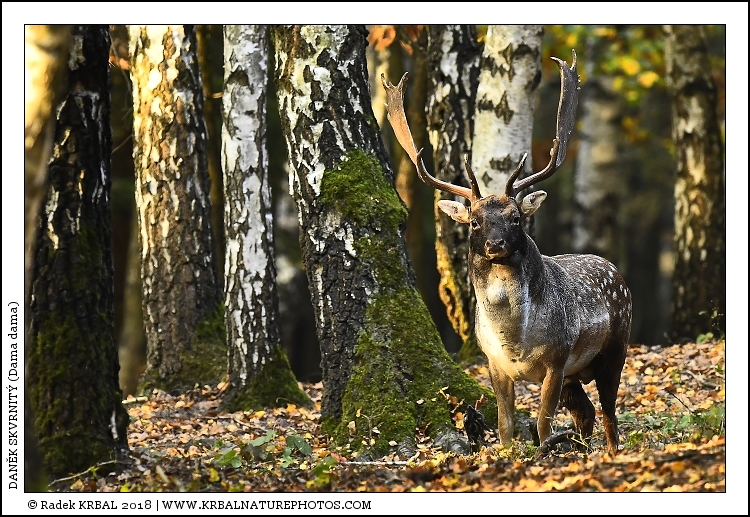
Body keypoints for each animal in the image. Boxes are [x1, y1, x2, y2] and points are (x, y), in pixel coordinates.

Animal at [382, 51, 632, 456]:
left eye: (516, 217)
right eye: (474, 222)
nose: (495, 245)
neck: (515, 342)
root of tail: (615, 270)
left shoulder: (557, 357)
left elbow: (543, 425)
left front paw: (543, 453)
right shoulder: (494, 364)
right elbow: (505, 426)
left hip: (615, 347)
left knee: (609, 412)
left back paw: (610, 453)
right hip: (579, 372)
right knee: (587, 413)